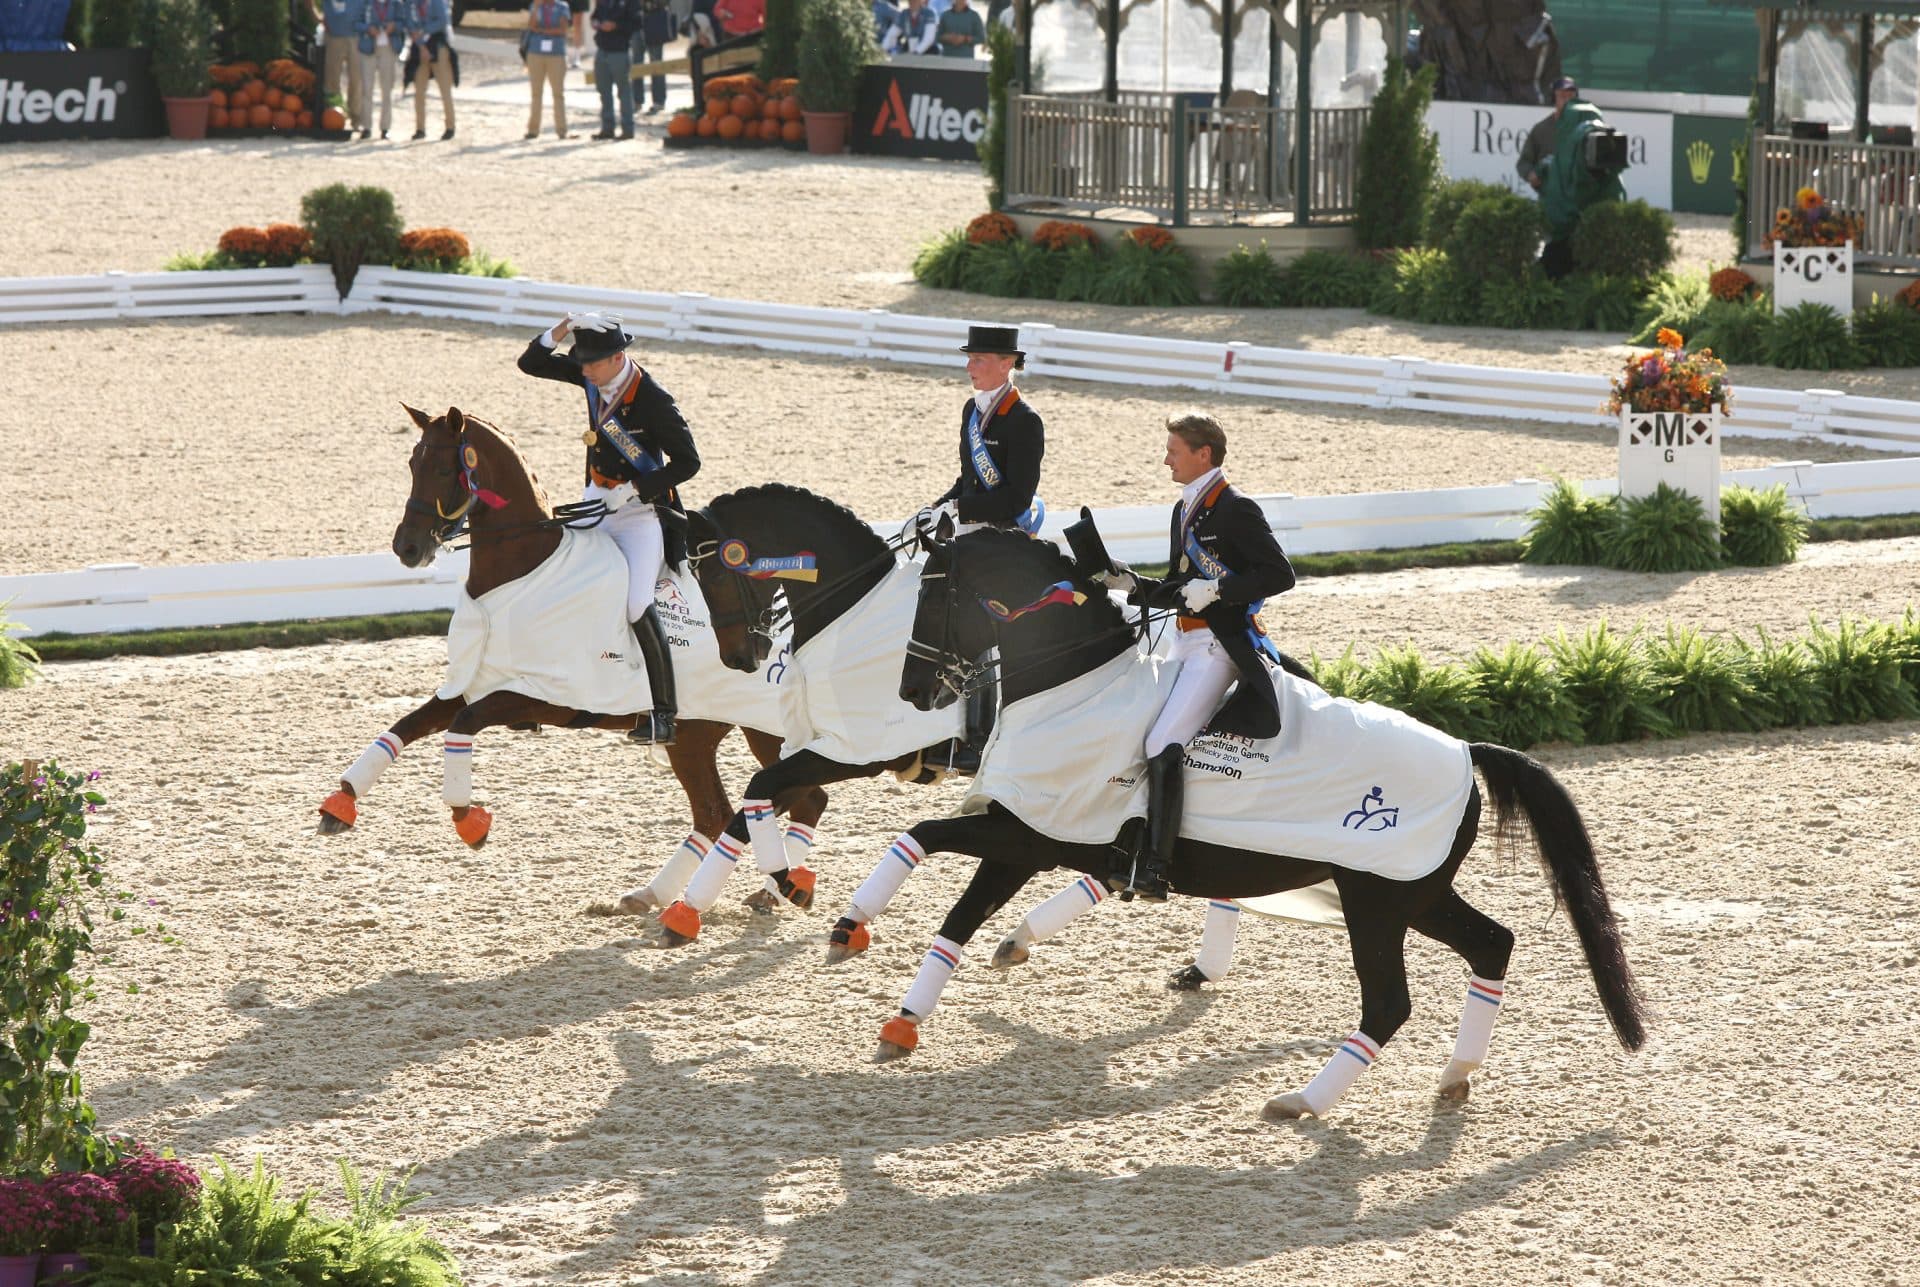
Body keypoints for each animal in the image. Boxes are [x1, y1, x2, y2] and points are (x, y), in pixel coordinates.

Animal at [871, 530, 1651, 1121]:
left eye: (932, 596)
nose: (913, 691)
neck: (1076, 685)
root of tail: (1467, 750)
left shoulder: (1029, 834)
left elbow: (923, 840)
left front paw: (853, 926)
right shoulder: (1027, 833)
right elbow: (957, 914)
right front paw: (904, 1016)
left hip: (1376, 902)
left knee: (1390, 1003)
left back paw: (1303, 1100)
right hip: (1414, 894)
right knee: (1493, 944)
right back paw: (1455, 1076)